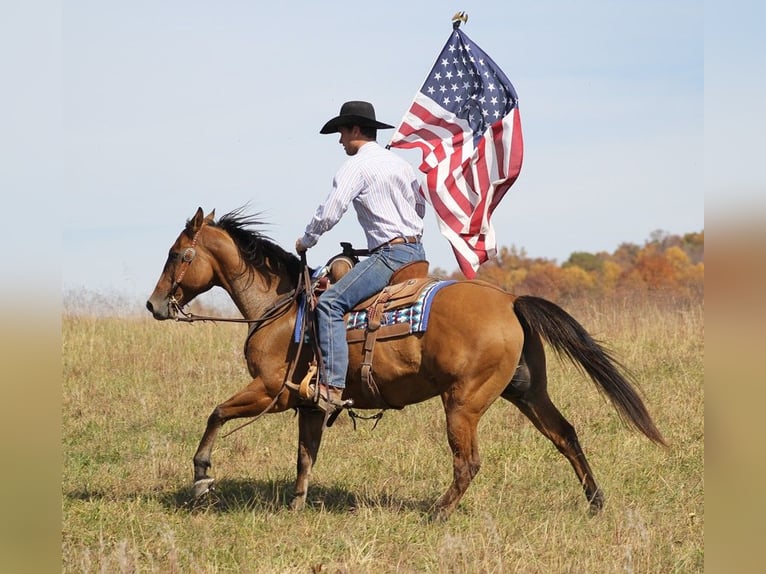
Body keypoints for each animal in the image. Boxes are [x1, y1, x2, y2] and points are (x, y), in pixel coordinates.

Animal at [147, 209, 668, 524]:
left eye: (176, 254)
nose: (154, 305)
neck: (281, 309)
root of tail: (510, 300)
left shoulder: (271, 390)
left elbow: (216, 413)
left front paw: (202, 478)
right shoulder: (310, 406)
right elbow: (305, 457)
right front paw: (295, 507)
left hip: (463, 403)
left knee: (468, 461)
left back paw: (437, 513)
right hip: (526, 392)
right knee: (565, 435)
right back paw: (596, 503)